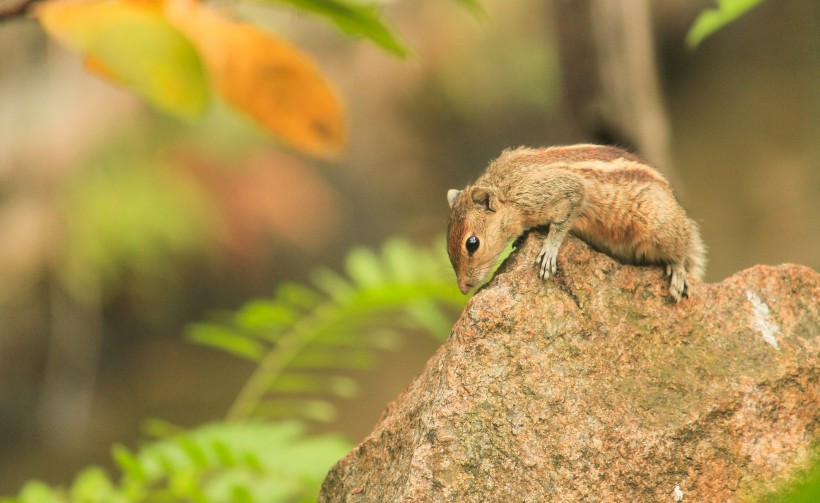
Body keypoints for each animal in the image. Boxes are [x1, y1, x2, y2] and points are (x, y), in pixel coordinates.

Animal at [446, 146, 708, 304]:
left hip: (659, 227)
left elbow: (563, 220)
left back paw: (677, 272)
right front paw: (522, 237)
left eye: (472, 243)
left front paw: (549, 250)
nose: (463, 288)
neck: (505, 188)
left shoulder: (561, 190)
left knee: (682, 250)